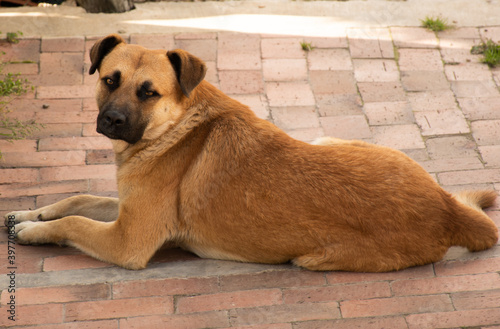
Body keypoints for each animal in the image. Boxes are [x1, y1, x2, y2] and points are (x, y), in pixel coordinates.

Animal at [4, 34, 500, 272]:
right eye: (110, 80)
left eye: (148, 92)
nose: (111, 121)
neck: (176, 125)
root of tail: (445, 207)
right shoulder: (125, 209)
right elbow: (78, 199)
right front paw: (33, 211)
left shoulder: (127, 240)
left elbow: (75, 221)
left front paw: (33, 230)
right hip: (327, 139)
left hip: (312, 256)